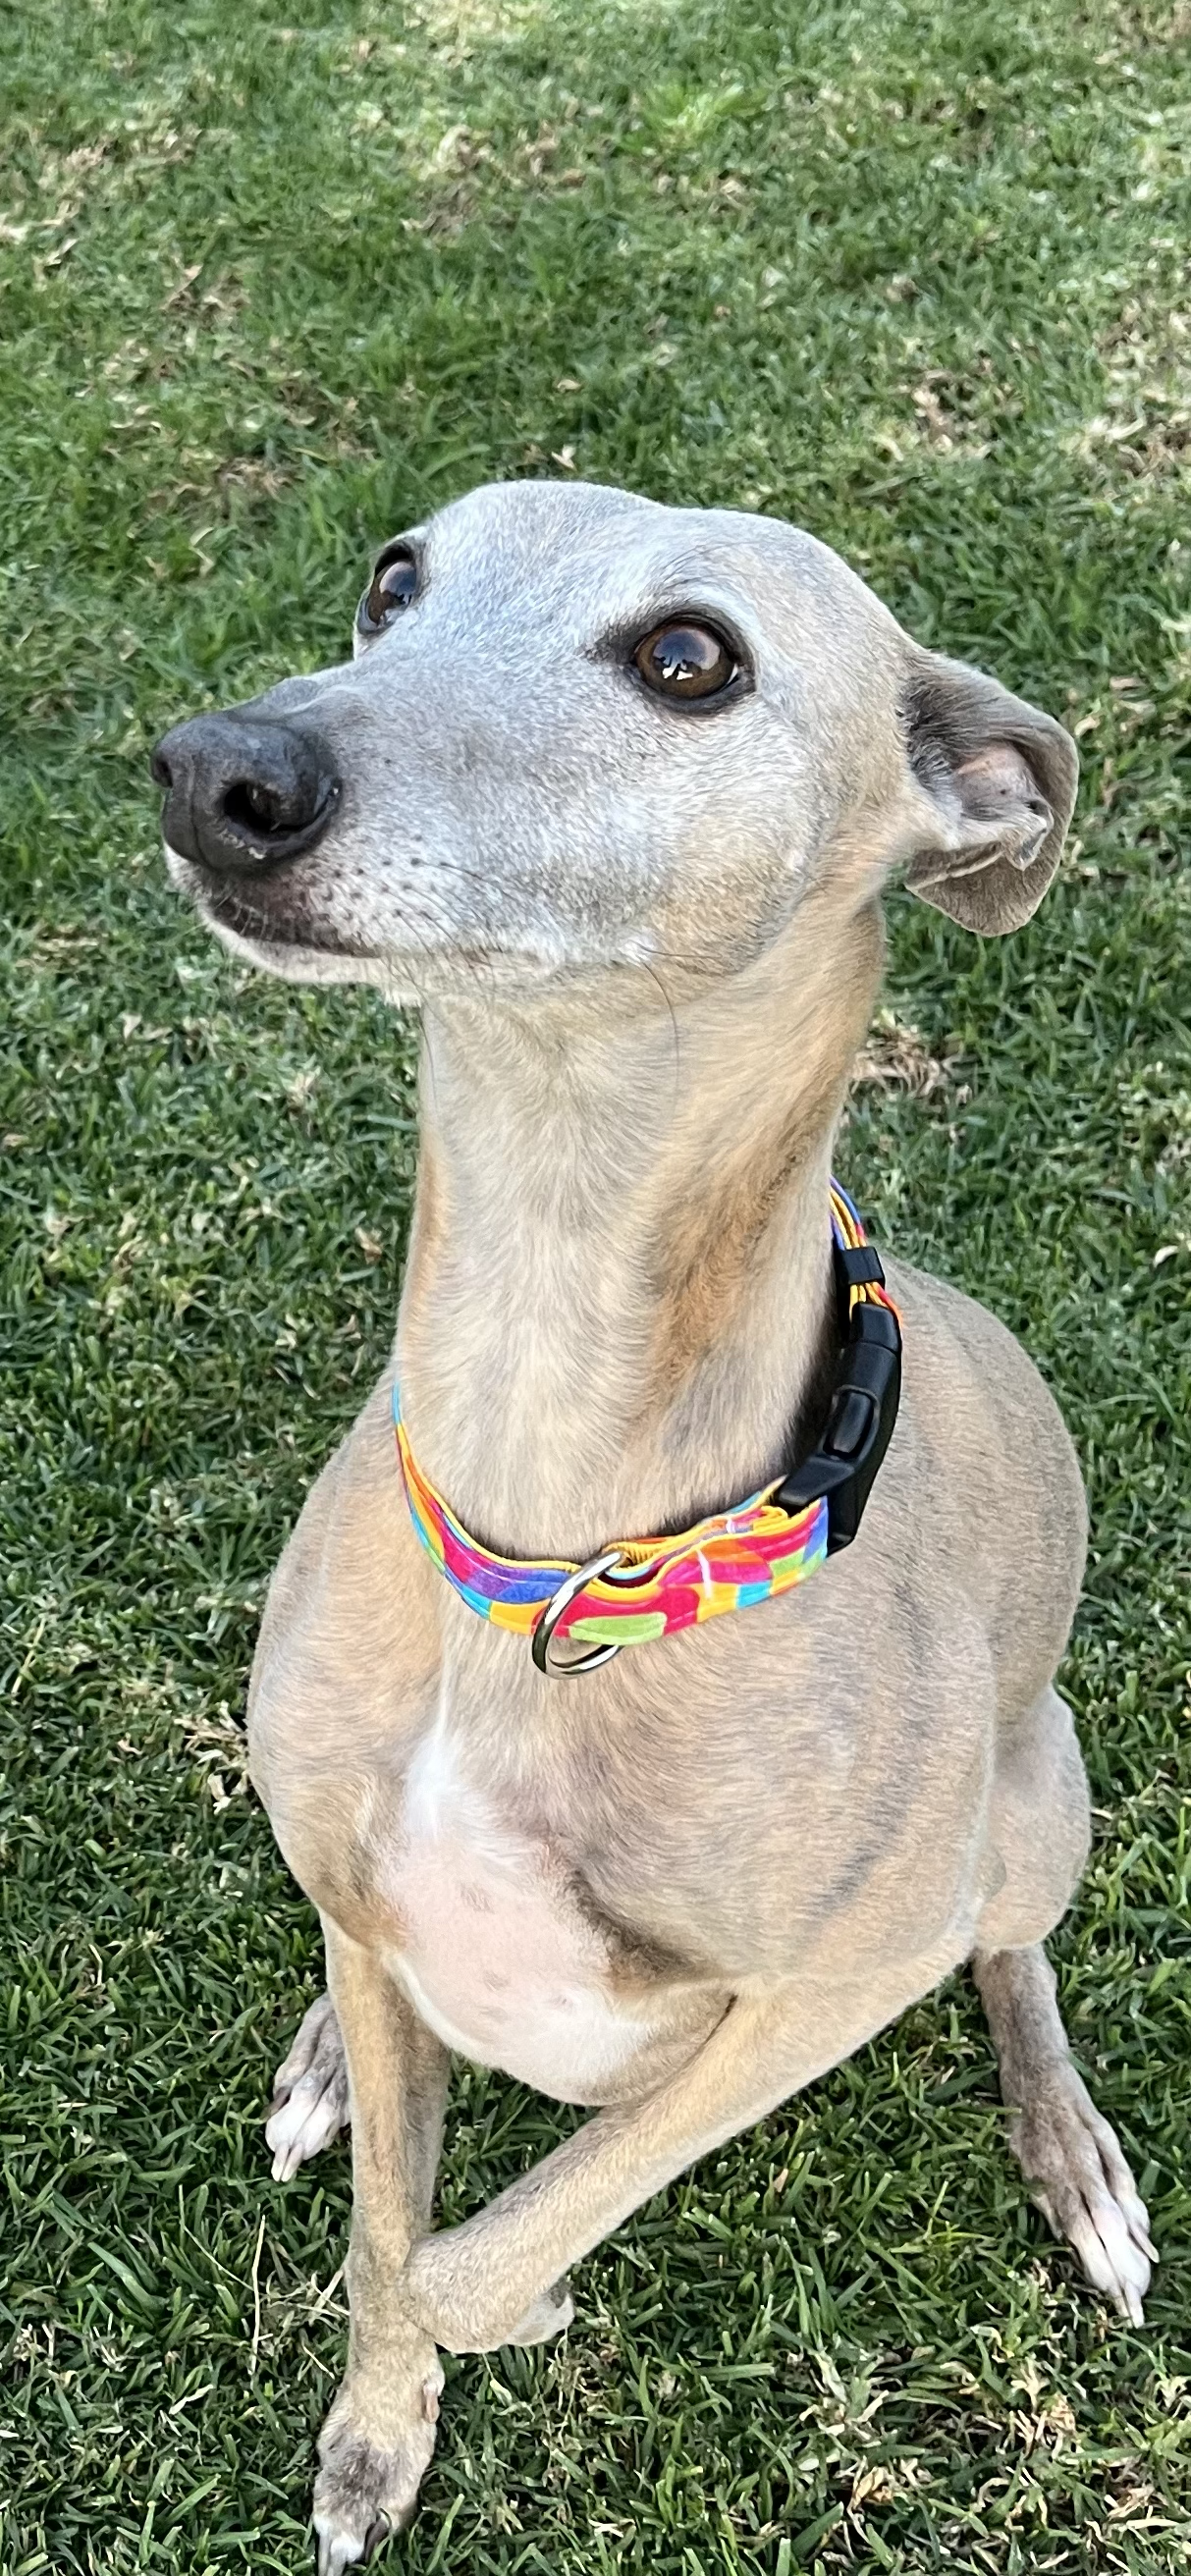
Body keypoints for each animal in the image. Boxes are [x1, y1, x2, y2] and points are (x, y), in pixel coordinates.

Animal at [155, 473, 1155, 2565]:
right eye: (393, 579)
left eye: (688, 655)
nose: (218, 772)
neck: (549, 1546)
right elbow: (386, 2221)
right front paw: (378, 2425)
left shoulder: (823, 1992)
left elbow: (458, 2252)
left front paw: (514, 2296)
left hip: (1033, 1801)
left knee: (1014, 1953)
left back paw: (1072, 2152)